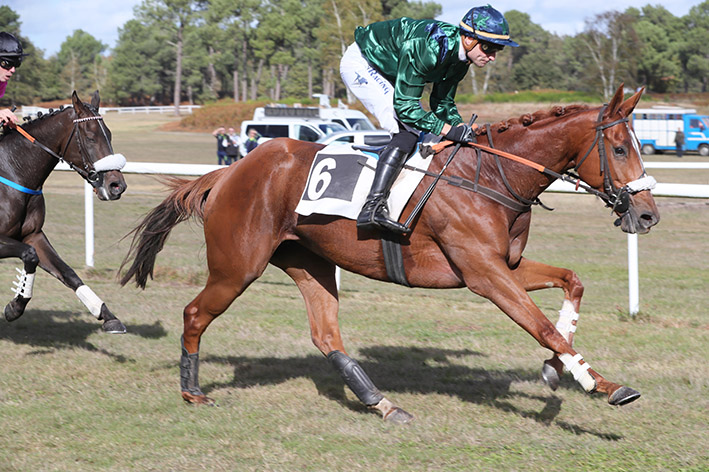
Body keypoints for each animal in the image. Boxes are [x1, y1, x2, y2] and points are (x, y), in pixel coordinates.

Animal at [0, 92, 127, 334]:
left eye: (109, 134)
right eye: (90, 137)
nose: (117, 185)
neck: (13, 171)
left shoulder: (33, 235)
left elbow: (67, 272)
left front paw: (107, 315)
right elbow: (29, 255)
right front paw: (15, 307)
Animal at [120, 85, 660, 424]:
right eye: (618, 148)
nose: (648, 214)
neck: (492, 177)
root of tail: (229, 172)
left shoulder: (505, 266)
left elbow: (572, 282)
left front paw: (555, 369)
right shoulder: (483, 274)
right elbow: (542, 324)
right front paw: (602, 385)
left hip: (308, 261)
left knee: (325, 333)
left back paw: (381, 403)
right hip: (238, 265)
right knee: (195, 314)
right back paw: (192, 391)